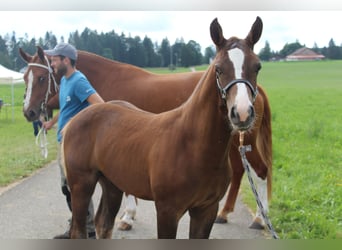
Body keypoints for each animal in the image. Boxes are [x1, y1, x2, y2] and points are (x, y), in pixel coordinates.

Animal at [19, 17, 272, 229]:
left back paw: (260, 218)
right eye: (24, 77)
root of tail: (260, 91)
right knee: (241, 172)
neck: (107, 78)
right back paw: (225, 213)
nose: (29, 111)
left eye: (41, 78)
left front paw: (128, 217)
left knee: (260, 171)